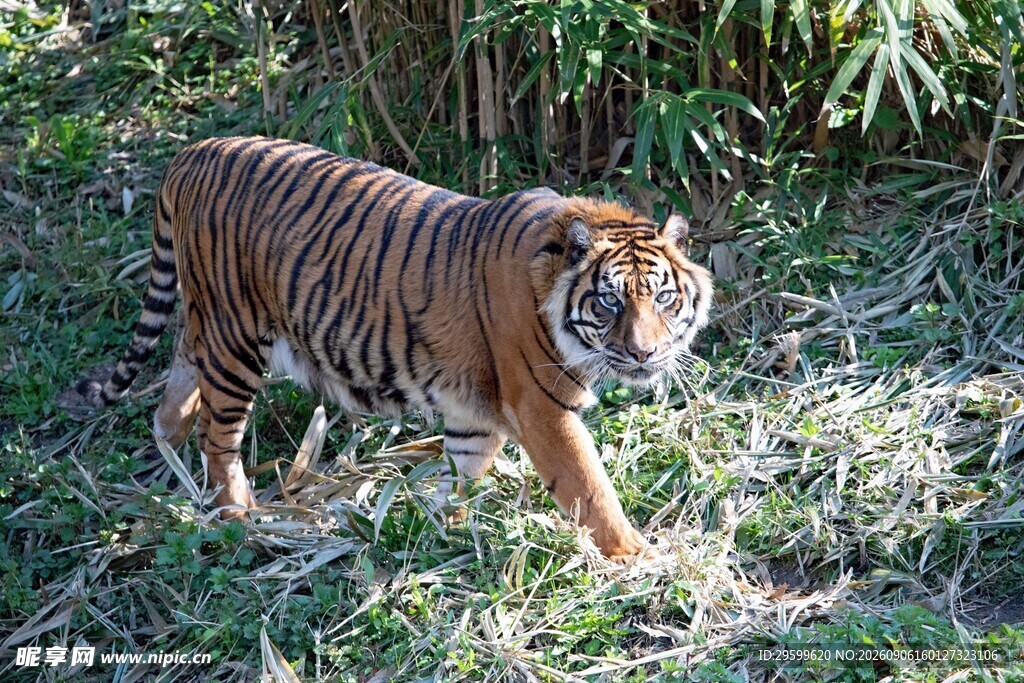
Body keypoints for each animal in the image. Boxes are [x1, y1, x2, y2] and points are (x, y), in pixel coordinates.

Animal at [78, 136, 713, 561]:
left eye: (663, 298)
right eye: (609, 302)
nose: (644, 355)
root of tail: (194, 152)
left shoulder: (474, 411)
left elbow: (462, 469)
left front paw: (439, 526)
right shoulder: (541, 407)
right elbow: (589, 486)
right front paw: (636, 557)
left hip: (208, 324)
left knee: (180, 377)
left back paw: (168, 452)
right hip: (237, 339)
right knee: (220, 437)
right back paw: (241, 517)